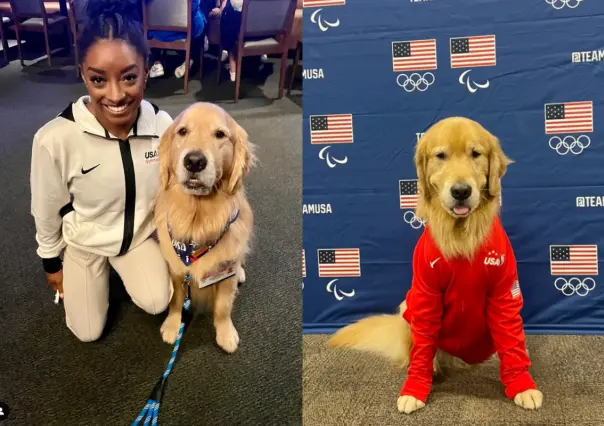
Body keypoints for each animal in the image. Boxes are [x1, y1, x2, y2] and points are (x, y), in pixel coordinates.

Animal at [155, 102, 256, 352]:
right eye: (182, 131)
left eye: (220, 134)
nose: (194, 161)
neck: (198, 220)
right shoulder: (177, 269)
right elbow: (176, 301)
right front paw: (172, 325)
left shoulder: (225, 271)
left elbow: (223, 307)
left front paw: (225, 333)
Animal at [328, 115, 544, 412]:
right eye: (441, 156)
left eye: (475, 154)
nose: (461, 191)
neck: (461, 236)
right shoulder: (426, 294)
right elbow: (421, 348)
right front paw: (415, 388)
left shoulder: (504, 293)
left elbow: (512, 344)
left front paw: (522, 384)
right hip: (408, 305)